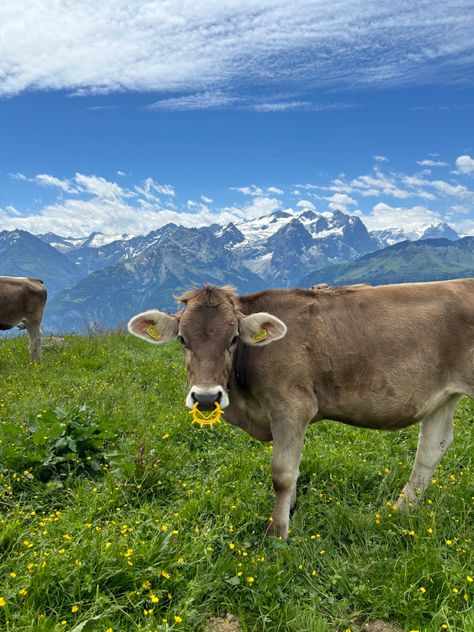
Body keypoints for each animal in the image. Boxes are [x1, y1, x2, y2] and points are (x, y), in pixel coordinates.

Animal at [128, 282, 474, 540]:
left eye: (233, 339)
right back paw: (398, 512)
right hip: (442, 396)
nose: (205, 396)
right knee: (431, 449)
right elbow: (293, 469)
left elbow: (282, 473)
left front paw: (278, 532)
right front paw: (290, 508)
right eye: (183, 339)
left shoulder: (291, 405)